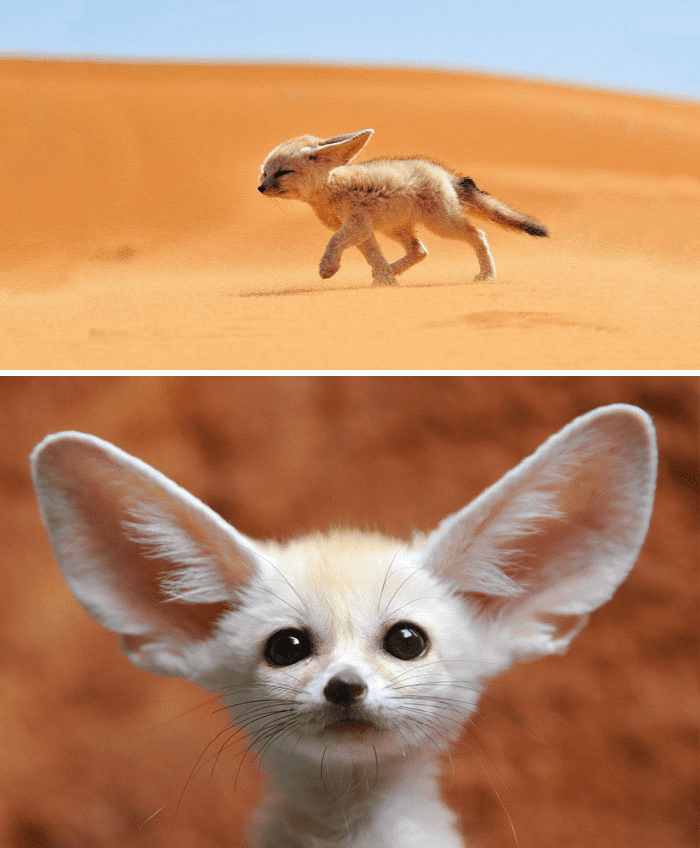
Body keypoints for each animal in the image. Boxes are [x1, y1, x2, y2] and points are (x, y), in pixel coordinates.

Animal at [258, 127, 548, 284]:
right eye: (264, 173)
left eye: (282, 173)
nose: (260, 188)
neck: (331, 190)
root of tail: (443, 173)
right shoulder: (363, 230)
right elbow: (373, 256)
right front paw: (385, 279)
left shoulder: (356, 224)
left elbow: (333, 242)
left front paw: (328, 267)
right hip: (395, 228)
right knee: (420, 250)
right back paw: (392, 270)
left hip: (441, 224)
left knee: (478, 234)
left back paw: (487, 275)